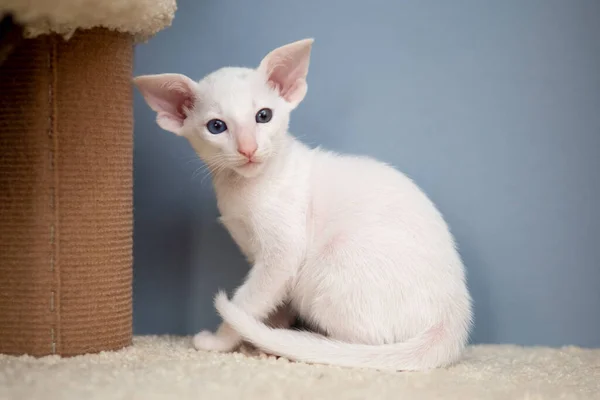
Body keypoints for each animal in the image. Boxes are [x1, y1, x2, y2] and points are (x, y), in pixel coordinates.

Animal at [132, 38, 474, 372]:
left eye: (263, 116)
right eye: (216, 126)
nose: (248, 149)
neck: (244, 187)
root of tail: (453, 322)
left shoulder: (283, 253)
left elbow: (247, 301)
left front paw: (223, 341)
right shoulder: (258, 253)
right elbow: (272, 299)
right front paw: (268, 331)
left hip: (325, 266)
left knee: (366, 344)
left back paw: (306, 345)